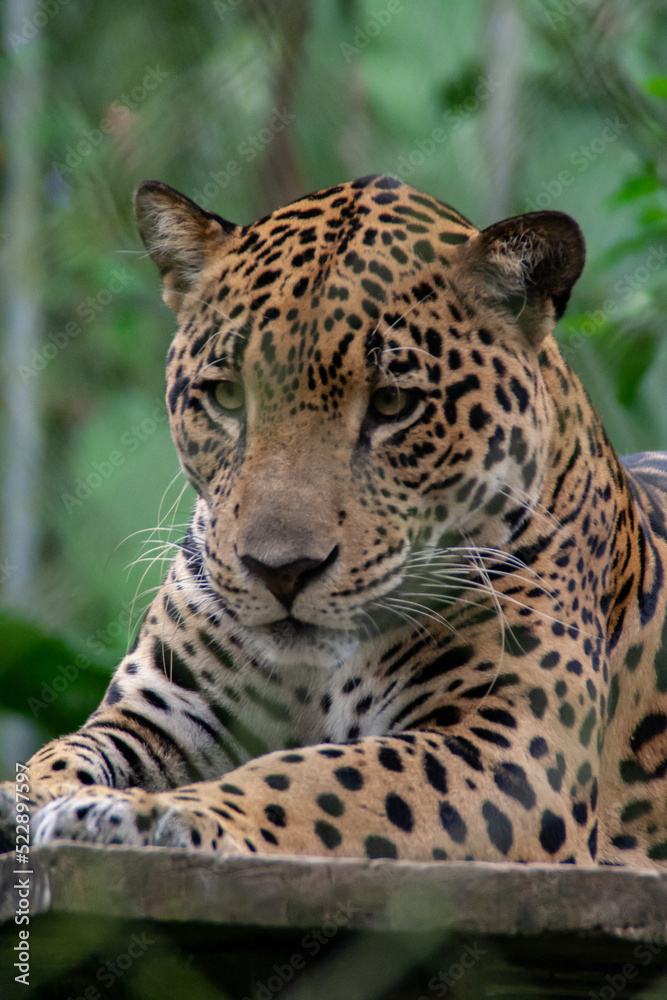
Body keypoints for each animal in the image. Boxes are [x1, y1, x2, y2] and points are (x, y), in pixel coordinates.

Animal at [2, 174, 666, 868]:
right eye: (228, 396)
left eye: (393, 403)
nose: (281, 572)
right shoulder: (158, 714)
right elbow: (61, 752)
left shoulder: (517, 745)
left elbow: (316, 778)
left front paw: (140, 814)